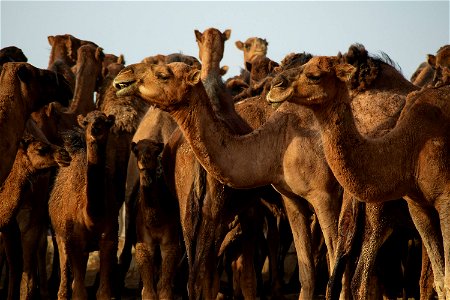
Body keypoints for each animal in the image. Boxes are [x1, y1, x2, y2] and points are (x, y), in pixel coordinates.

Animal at [48, 110, 116, 300]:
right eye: (86, 122)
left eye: (105, 122)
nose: (95, 128)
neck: (91, 217)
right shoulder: (74, 240)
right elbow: (79, 293)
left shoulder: (109, 239)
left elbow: (103, 293)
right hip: (59, 235)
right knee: (64, 279)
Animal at [130, 139, 181, 298]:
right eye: (136, 151)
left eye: (155, 151)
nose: (144, 160)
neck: (156, 221)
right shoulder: (144, 243)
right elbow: (148, 292)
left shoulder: (169, 243)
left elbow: (165, 290)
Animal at [266, 55, 450, 298]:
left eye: (315, 76)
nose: (275, 86)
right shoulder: (418, 206)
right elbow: (438, 279)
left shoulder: (443, 200)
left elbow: (442, 280)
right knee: (358, 277)